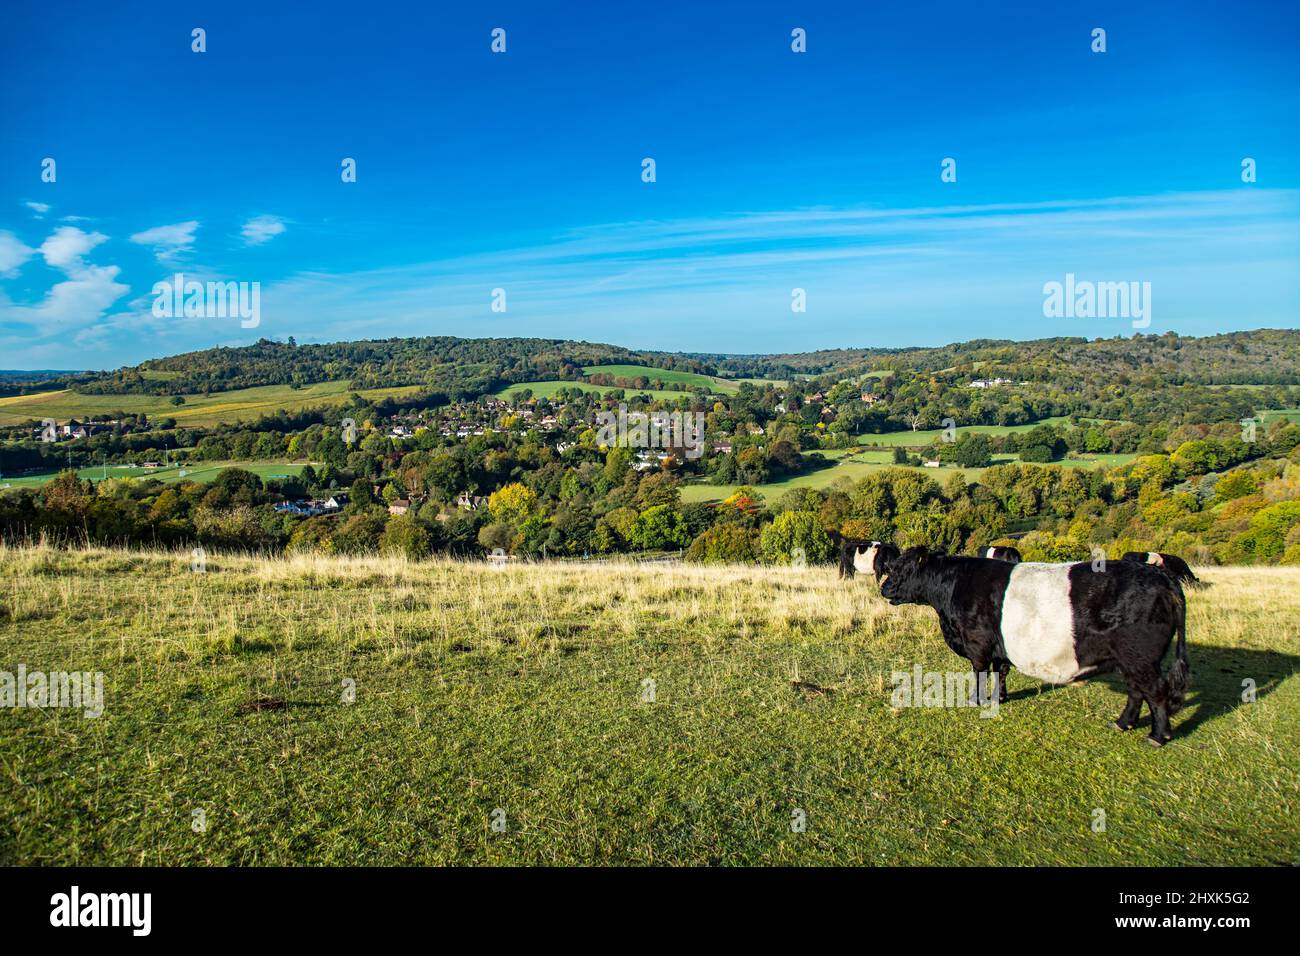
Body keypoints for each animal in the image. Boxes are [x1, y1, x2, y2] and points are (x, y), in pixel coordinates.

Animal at [878, 546, 1190, 749]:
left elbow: (980, 672)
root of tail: (1162, 578)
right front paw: (999, 698)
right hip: (1131, 660)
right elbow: (1001, 671)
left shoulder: (977, 643)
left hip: (1140, 657)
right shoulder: (998, 646)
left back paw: (1157, 736)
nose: (884, 589)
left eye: (901, 569)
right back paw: (1123, 723)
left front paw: (975, 700)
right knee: (1136, 691)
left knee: (1155, 691)